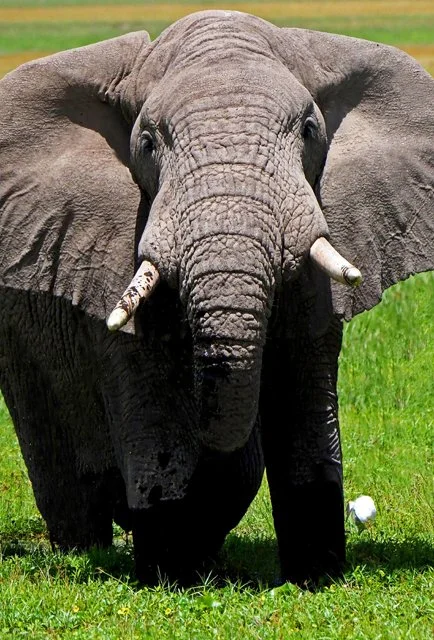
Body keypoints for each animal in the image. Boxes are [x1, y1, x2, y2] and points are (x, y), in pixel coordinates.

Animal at [0, 10, 433, 586]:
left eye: (310, 130)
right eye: (147, 144)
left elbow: (303, 391)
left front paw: (316, 577)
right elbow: (154, 402)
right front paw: (169, 574)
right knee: (60, 466)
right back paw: (89, 546)